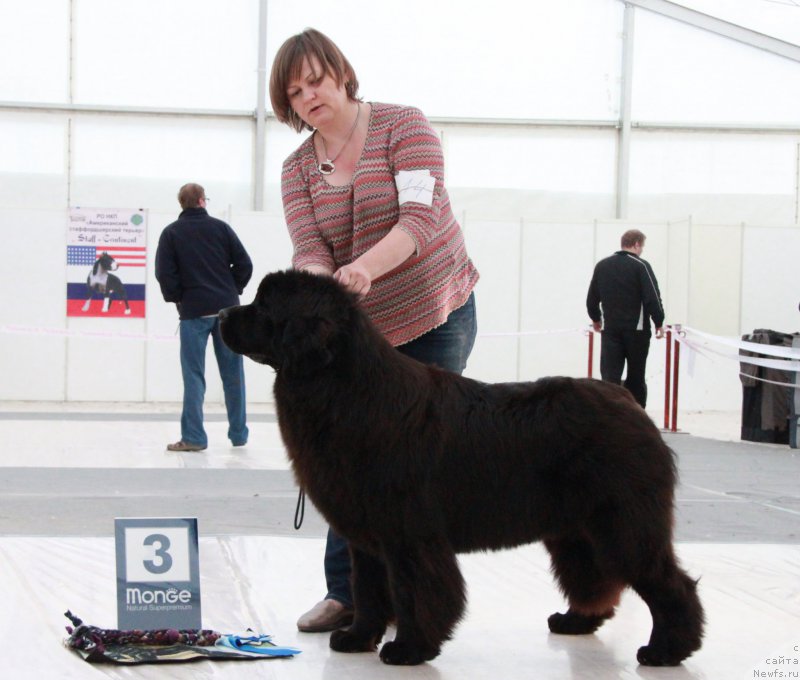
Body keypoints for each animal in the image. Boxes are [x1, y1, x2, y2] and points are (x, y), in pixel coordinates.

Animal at [217, 270, 700, 664]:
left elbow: (414, 591)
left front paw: (409, 648)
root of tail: (630, 403)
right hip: (576, 531)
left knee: (668, 582)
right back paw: (576, 622)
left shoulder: (408, 532)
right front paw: (357, 638)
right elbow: (368, 590)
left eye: (264, 306)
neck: (347, 388)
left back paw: (667, 650)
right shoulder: (367, 536)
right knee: (595, 577)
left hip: (623, 524)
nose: (221, 312)